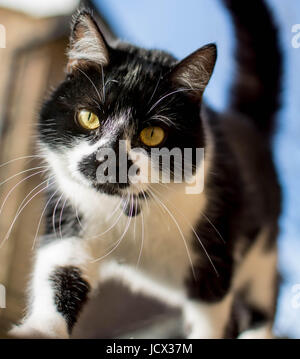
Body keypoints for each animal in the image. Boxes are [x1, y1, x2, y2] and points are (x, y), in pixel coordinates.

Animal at [8, 0, 282, 340]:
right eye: (89, 117)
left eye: (152, 134)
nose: (107, 160)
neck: (131, 213)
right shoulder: (72, 216)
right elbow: (61, 272)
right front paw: (39, 329)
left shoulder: (215, 253)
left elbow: (209, 315)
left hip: (262, 255)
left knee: (261, 303)